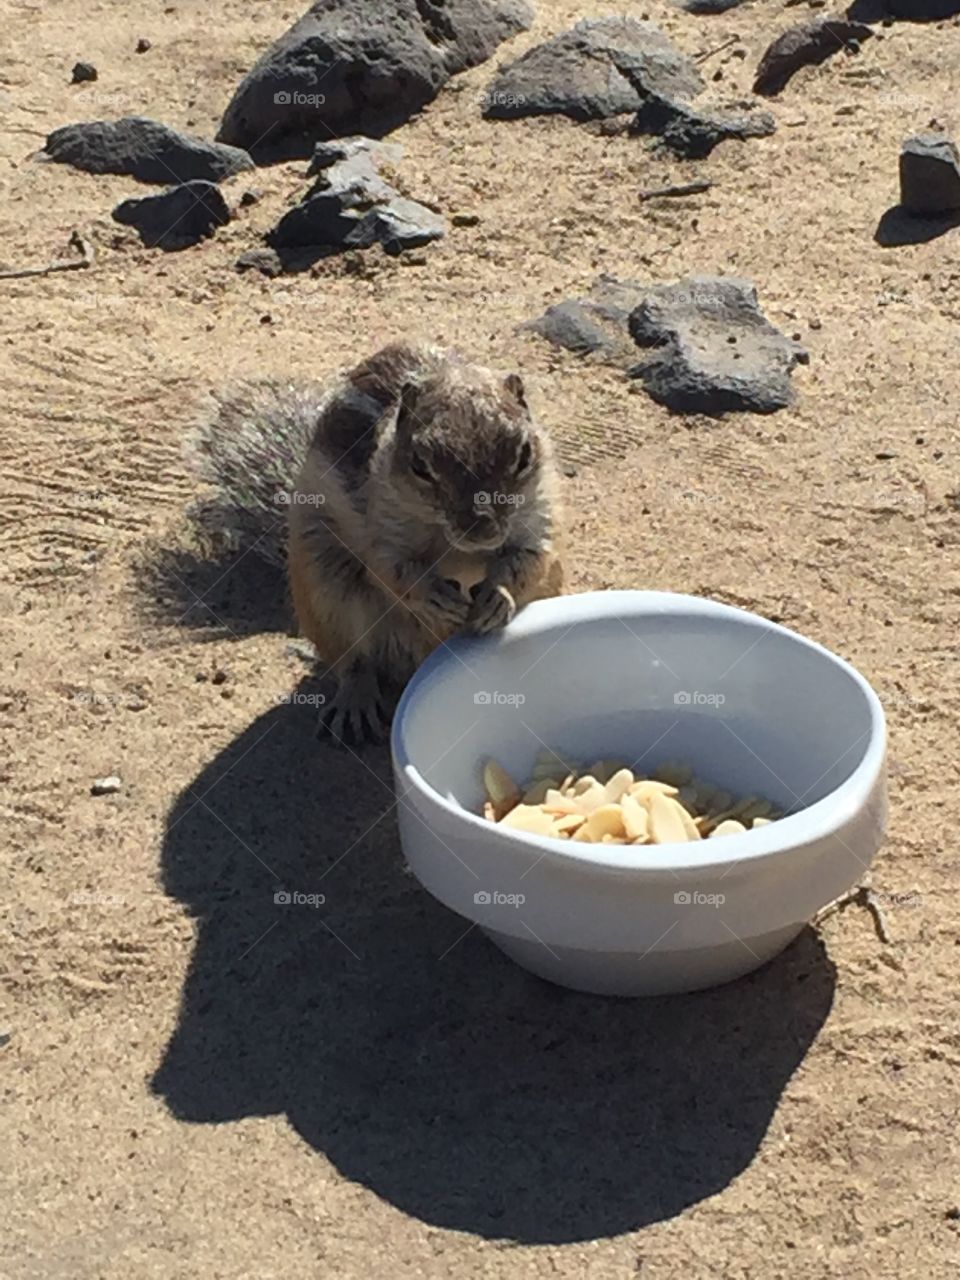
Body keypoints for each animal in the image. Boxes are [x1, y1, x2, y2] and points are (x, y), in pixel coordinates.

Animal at [186, 342, 564, 744]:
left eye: (524, 455)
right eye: (420, 465)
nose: (482, 531)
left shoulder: (540, 513)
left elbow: (530, 558)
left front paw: (498, 597)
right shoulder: (379, 527)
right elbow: (389, 569)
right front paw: (431, 594)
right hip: (325, 587)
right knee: (353, 662)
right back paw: (355, 701)